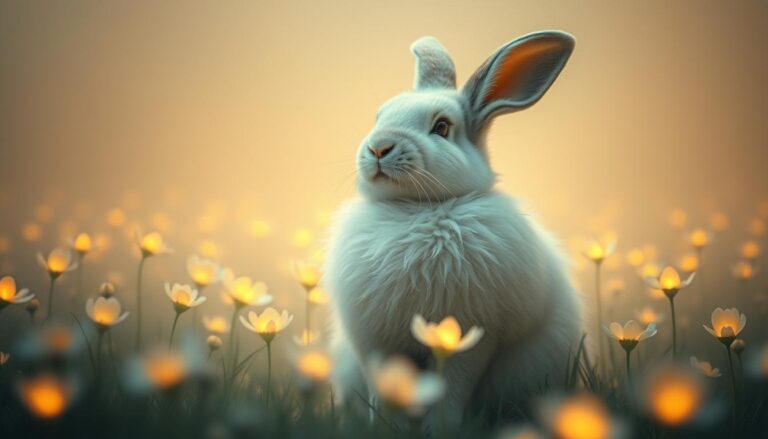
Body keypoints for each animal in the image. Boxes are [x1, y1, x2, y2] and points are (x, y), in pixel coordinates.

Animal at [324, 31, 583, 427]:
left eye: (442, 127)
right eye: (380, 115)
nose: (378, 147)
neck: (420, 208)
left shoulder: (471, 335)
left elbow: (451, 389)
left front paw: (440, 427)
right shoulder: (373, 338)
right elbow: (384, 384)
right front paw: (386, 426)